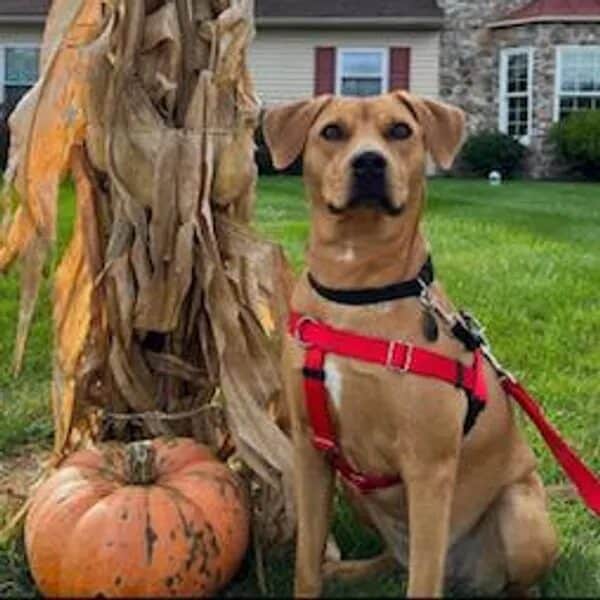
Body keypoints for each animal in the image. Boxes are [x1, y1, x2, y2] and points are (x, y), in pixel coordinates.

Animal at [262, 91, 556, 596]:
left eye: (400, 130)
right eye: (332, 132)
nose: (369, 162)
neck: (358, 289)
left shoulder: (428, 466)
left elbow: (422, 580)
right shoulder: (310, 450)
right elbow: (306, 562)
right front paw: (318, 572)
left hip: (522, 514)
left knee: (512, 582)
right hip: (357, 490)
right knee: (396, 558)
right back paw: (353, 569)